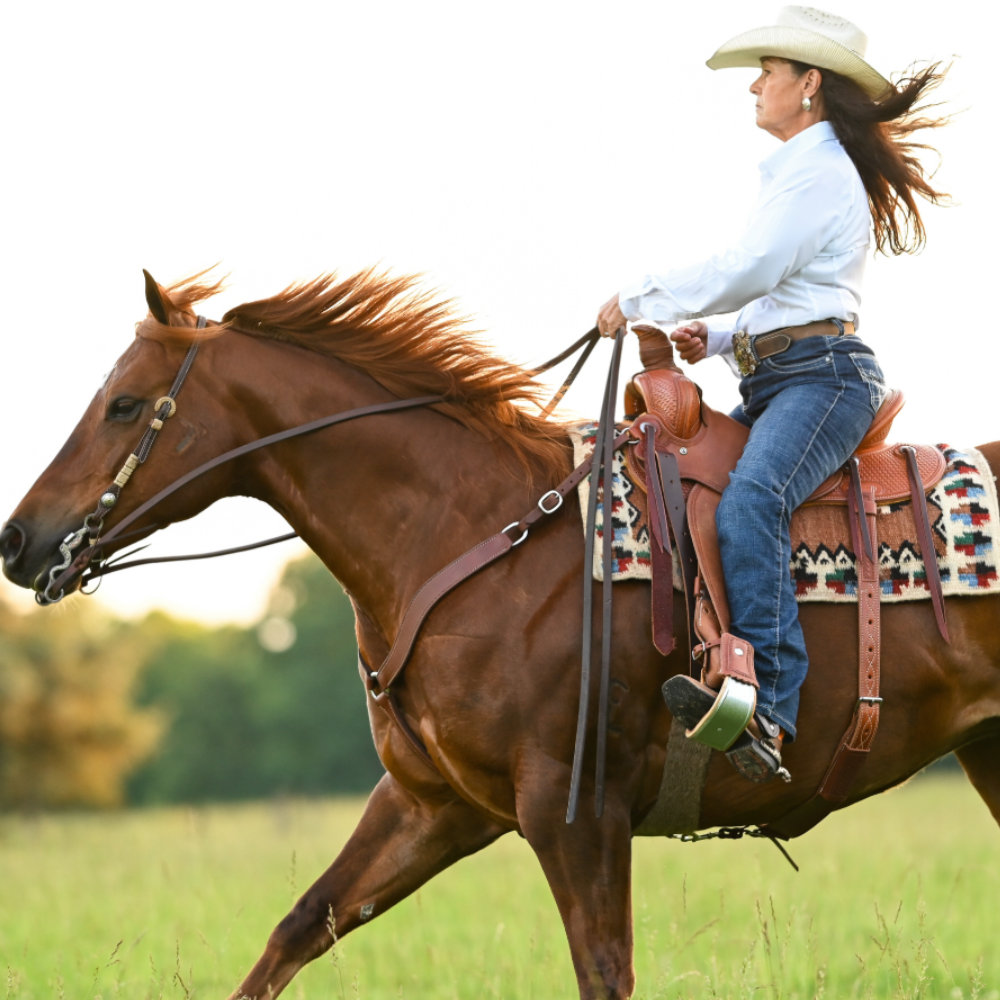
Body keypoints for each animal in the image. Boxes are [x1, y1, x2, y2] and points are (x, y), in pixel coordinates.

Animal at [2, 270, 999, 1000]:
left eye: (125, 405)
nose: (19, 540)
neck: (468, 532)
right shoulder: (430, 806)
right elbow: (298, 929)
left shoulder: (574, 810)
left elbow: (604, 973)